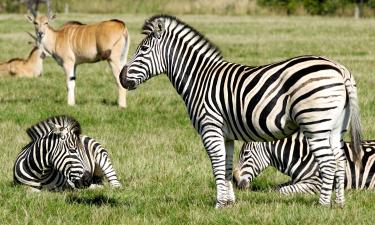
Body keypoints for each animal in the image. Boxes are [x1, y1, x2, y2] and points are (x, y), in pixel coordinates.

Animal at [234, 132, 375, 193]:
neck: (303, 156)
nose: (235, 182)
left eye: (246, 154)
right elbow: (275, 187)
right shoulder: (297, 180)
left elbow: (282, 191)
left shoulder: (316, 184)